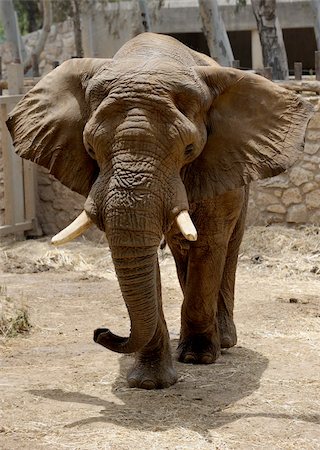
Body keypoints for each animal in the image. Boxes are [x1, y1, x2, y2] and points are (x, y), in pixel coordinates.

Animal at [6, 32, 312, 390]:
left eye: (190, 149)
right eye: (90, 149)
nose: (101, 331)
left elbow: (208, 243)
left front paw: (198, 358)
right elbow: (142, 254)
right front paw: (149, 383)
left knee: (226, 247)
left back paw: (222, 343)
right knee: (182, 253)